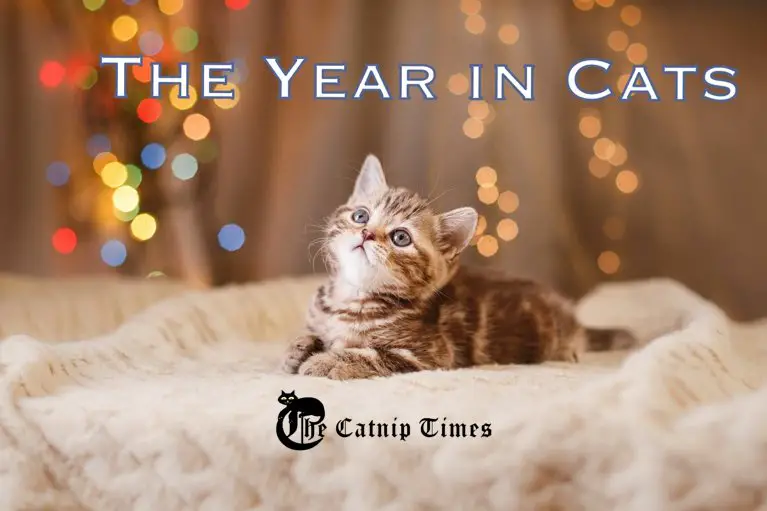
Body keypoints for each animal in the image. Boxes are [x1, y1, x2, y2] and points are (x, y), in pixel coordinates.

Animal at [282, 156, 636, 380]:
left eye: (400, 237)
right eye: (361, 216)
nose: (367, 233)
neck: (349, 296)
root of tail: (575, 321)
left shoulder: (432, 354)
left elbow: (368, 354)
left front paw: (325, 361)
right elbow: (308, 336)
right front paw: (297, 349)